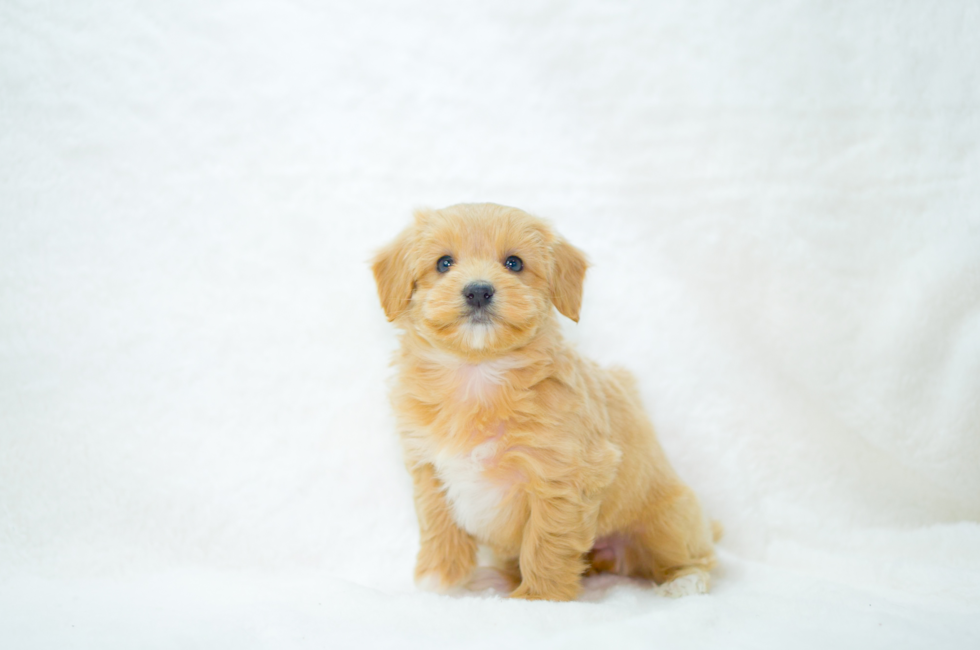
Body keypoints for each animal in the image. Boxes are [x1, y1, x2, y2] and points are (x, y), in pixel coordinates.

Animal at [372, 204, 716, 604]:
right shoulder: (430, 470)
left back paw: (685, 581)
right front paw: (440, 582)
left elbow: (546, 542)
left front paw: (539, 598)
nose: (478, 291)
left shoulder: (561, 479)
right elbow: (439, 528)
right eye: (444, 263)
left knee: (696, 558)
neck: (478, 372)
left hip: (668, 523)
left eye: (514, 263)